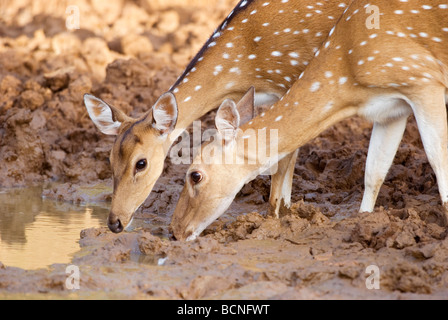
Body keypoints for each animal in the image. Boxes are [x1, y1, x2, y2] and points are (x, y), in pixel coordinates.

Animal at [85, 0, 350, 231]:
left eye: (141, 163)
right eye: (109, 159)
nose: (114, 223)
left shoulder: (296, 80)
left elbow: (284, 157)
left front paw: (276, 219)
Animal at [170, 0, 448, 240]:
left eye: (195, 175)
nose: (175, 230)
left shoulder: (423, 80)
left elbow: (439, 160)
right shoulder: (391, 110)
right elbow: (374, 171)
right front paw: (362, 223)